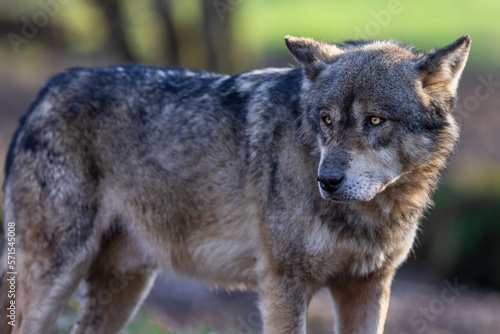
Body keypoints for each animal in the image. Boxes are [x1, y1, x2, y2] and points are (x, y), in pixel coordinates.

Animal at [0, 35, 470, 332]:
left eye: (374, 121)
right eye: (327, 121)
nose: (327, 181)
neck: (371, 213)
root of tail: (46, 90)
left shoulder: (368, 287)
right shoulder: (282, 284)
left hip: (125, 288)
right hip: (56, 277)